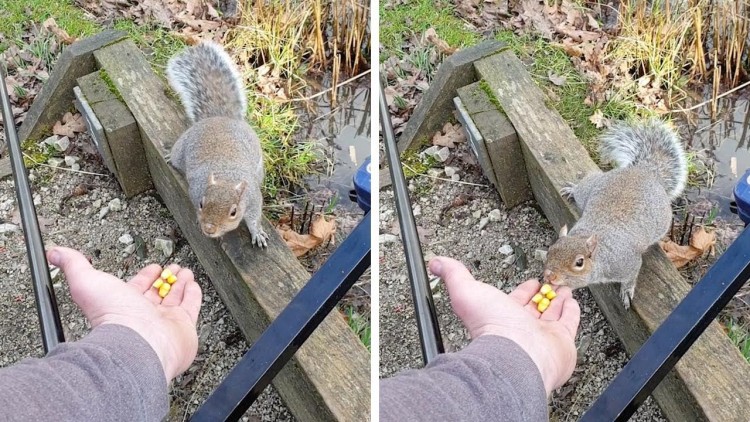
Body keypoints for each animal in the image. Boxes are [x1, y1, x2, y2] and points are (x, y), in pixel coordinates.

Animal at [166, 41, 268, 247]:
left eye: (233, 212)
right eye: (201, 203)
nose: (209, 229)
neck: (226, 178)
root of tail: (220, 117)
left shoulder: (253, 198)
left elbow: (254, 218)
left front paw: (257, 233)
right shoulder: (195, 189)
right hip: (181, 148)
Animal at [544, 120, 692, 308]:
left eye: (579, 262)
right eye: (550, 249)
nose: (549, 276)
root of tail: (642, 171)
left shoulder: (628, 262)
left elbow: (631, 277)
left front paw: (627, 291)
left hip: (662, 222)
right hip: (589, 188)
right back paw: (572, 189)